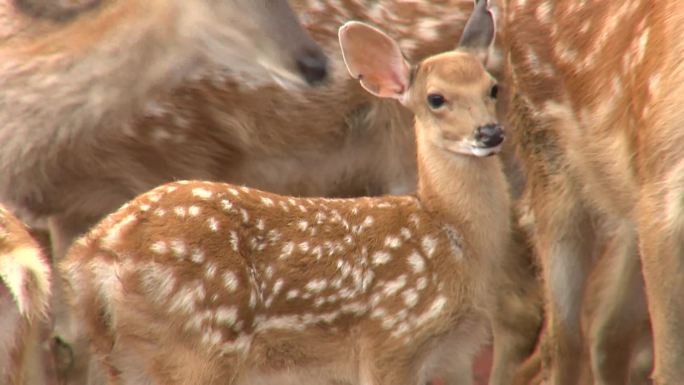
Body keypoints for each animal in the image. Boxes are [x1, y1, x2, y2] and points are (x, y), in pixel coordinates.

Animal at [58, 2, 510, 380]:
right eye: (436, 98)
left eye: (493, 88)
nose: (490, 133)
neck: (448, 231)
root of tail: (93, 255)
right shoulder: (390, 340)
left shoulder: (457, 354)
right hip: (198, 342)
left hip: (122, 355)